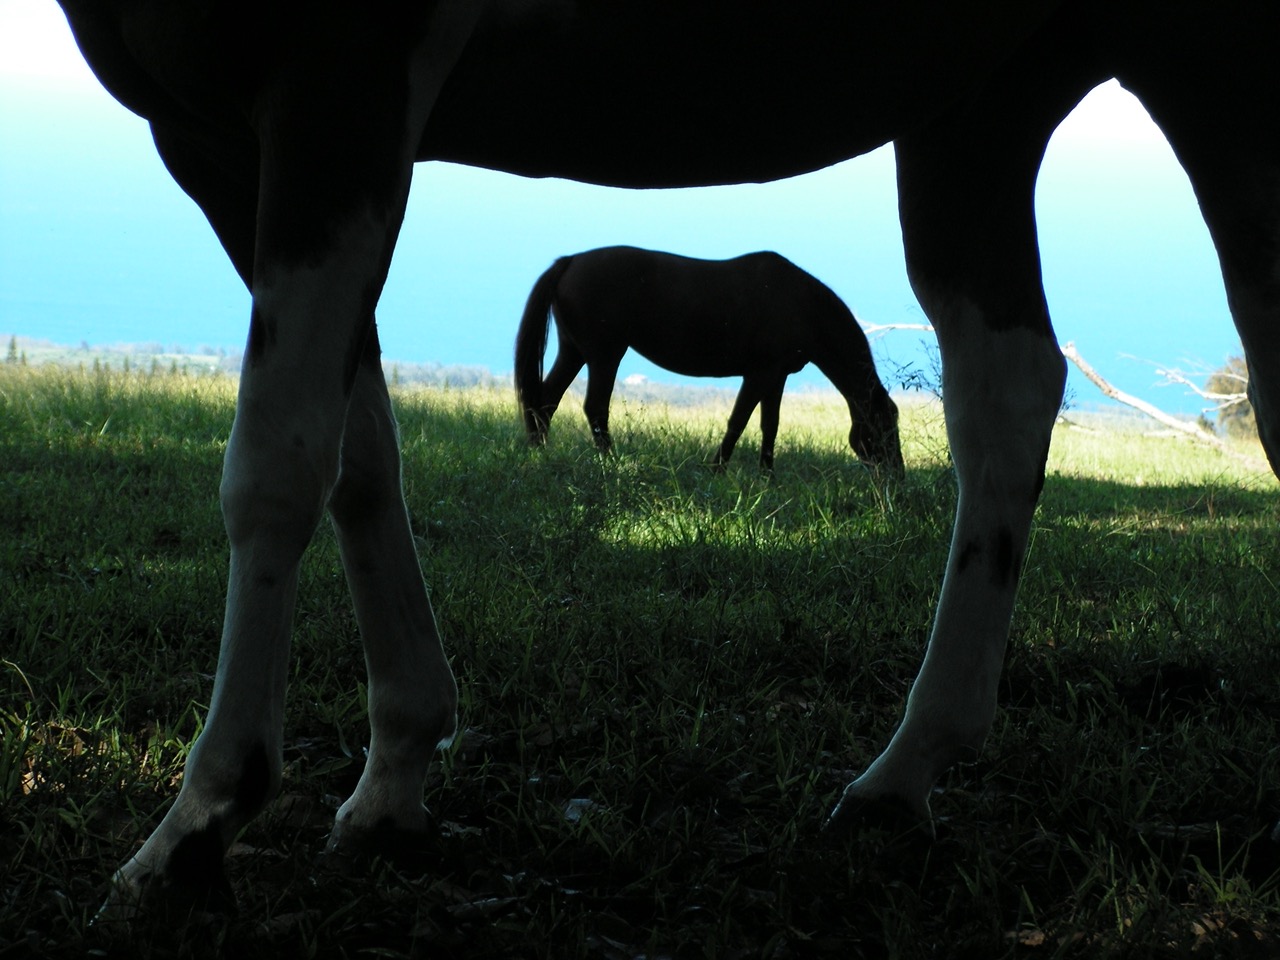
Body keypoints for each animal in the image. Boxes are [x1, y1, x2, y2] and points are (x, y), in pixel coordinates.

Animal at [509, 245, 901, 471]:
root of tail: (570, 262)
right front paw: (718, 468)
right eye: (886, 426)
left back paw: (540, 453)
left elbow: (769, 425)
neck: (801, 305)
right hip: (604, 356)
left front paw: (767, 475)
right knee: (594, 408)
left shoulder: (777, 376)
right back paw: (612, 463)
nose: (897, 475)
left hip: (574, 351)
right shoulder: (759, 373)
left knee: (546, 400)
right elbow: (738, 421)